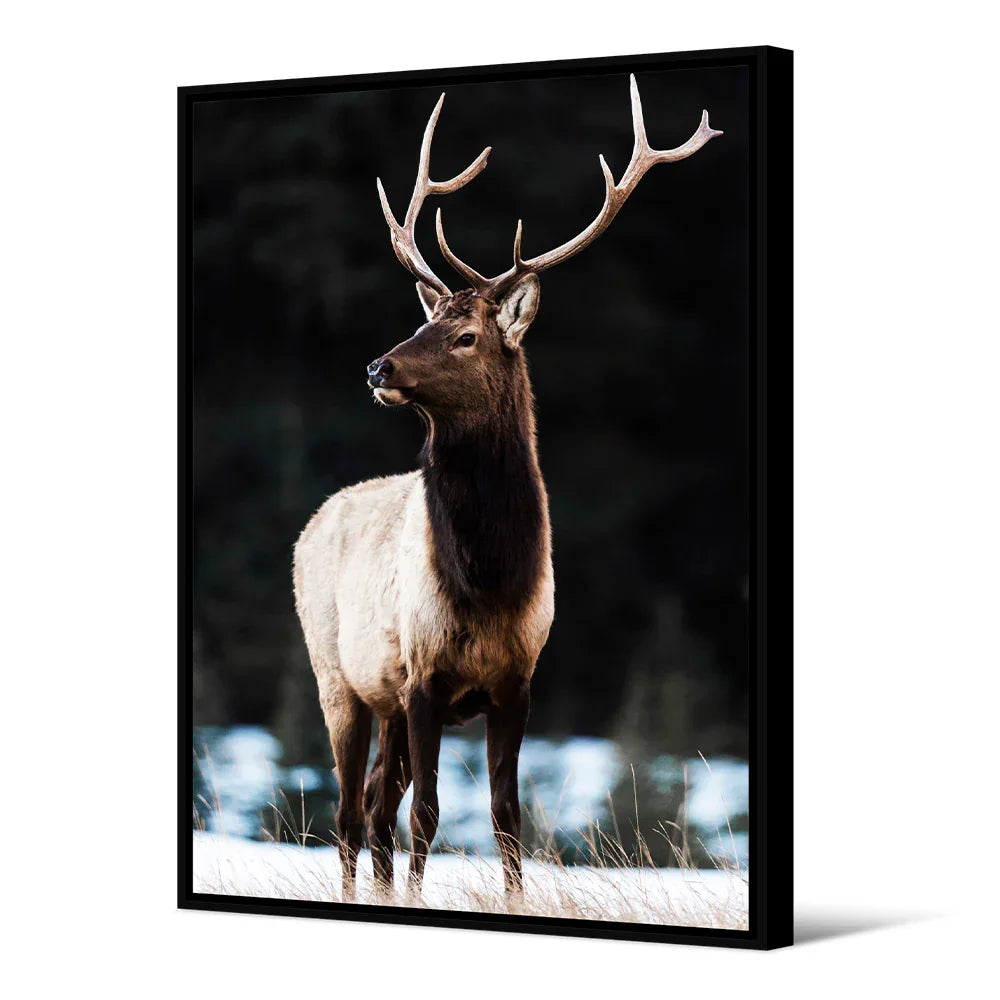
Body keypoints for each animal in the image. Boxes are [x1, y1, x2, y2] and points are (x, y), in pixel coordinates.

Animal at [293, 74, 721, 902]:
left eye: (465, 336)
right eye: (424, 321)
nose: (377, 366)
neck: (488, 581)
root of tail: (314, 520)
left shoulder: (517, 680)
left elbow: (506, 815)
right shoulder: (422, 675)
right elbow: (429, 812)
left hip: (382, 700)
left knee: (375, 805)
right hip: (338, 675)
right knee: (350, 814)